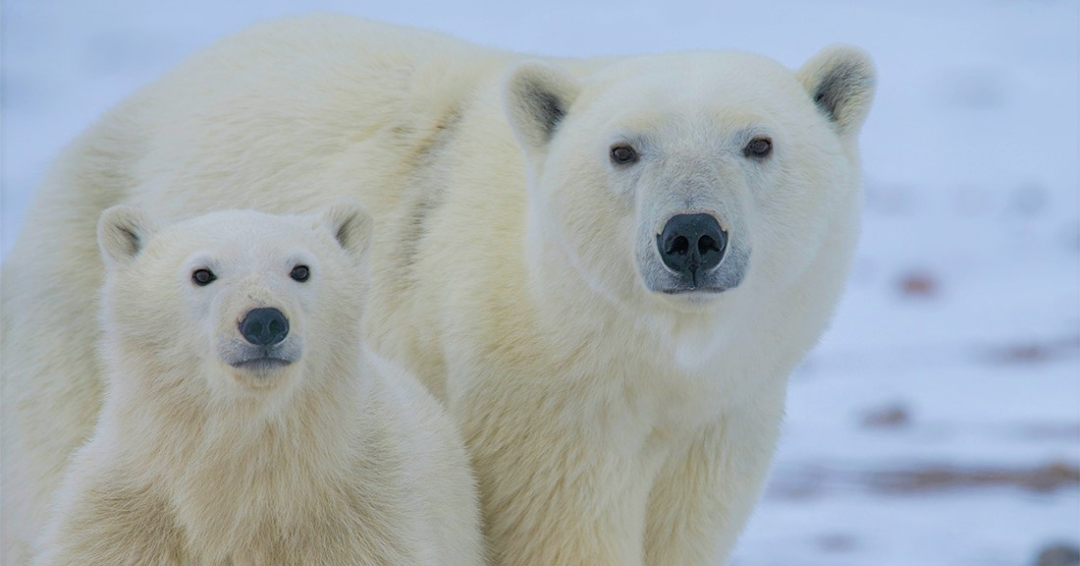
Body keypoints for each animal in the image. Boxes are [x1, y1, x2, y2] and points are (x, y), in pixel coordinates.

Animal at [0, 13, 872, 566]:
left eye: (758, 143)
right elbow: (557, 535)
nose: (691, 236)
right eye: (624, 150)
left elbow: (683, 529)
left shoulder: (723, 413)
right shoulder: (529, 400)